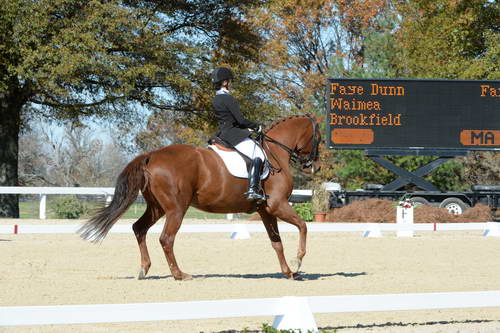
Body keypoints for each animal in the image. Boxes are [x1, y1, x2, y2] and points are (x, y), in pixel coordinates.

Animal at [78, 113, 320, 278]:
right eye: (317, 137)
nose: (314, 167)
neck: (275, 153)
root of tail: (151, 155)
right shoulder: (278, 205)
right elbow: (303, 226)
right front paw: (298, 261)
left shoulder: (265, 209)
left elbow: (276, 242)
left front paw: (288, 272)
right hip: (176, 209)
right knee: (166, 238)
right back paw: (180, 275)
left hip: (157, 207)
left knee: (139, 228)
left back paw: (144, 269)